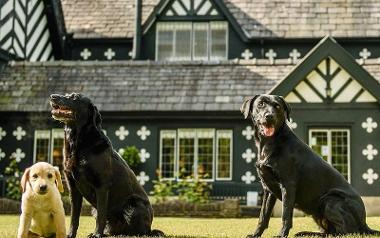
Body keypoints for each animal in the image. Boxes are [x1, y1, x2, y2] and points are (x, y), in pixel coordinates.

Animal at [50, 93, 163, 238]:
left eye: (75, 97)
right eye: (66, 94)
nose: (53, 96)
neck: (78, 141)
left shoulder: (102, 186)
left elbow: (101, 215)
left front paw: (97, 234)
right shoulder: (73, 187)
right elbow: (74, 217)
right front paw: (70, 235)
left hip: (133, 207)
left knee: (140, 232)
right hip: (95, 209)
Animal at [242, 94, 378, 237]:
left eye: (277, 106)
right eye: (261, 104)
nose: (269, 116)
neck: (270, 142)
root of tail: (364, 224)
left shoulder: (288, 185)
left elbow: (285, 214)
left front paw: (281, 234)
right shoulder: (268, 189)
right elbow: (263, 216)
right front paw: (256, 234)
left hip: (330, 200)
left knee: (343, 231)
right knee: (328, 230)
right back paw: (306, 233)